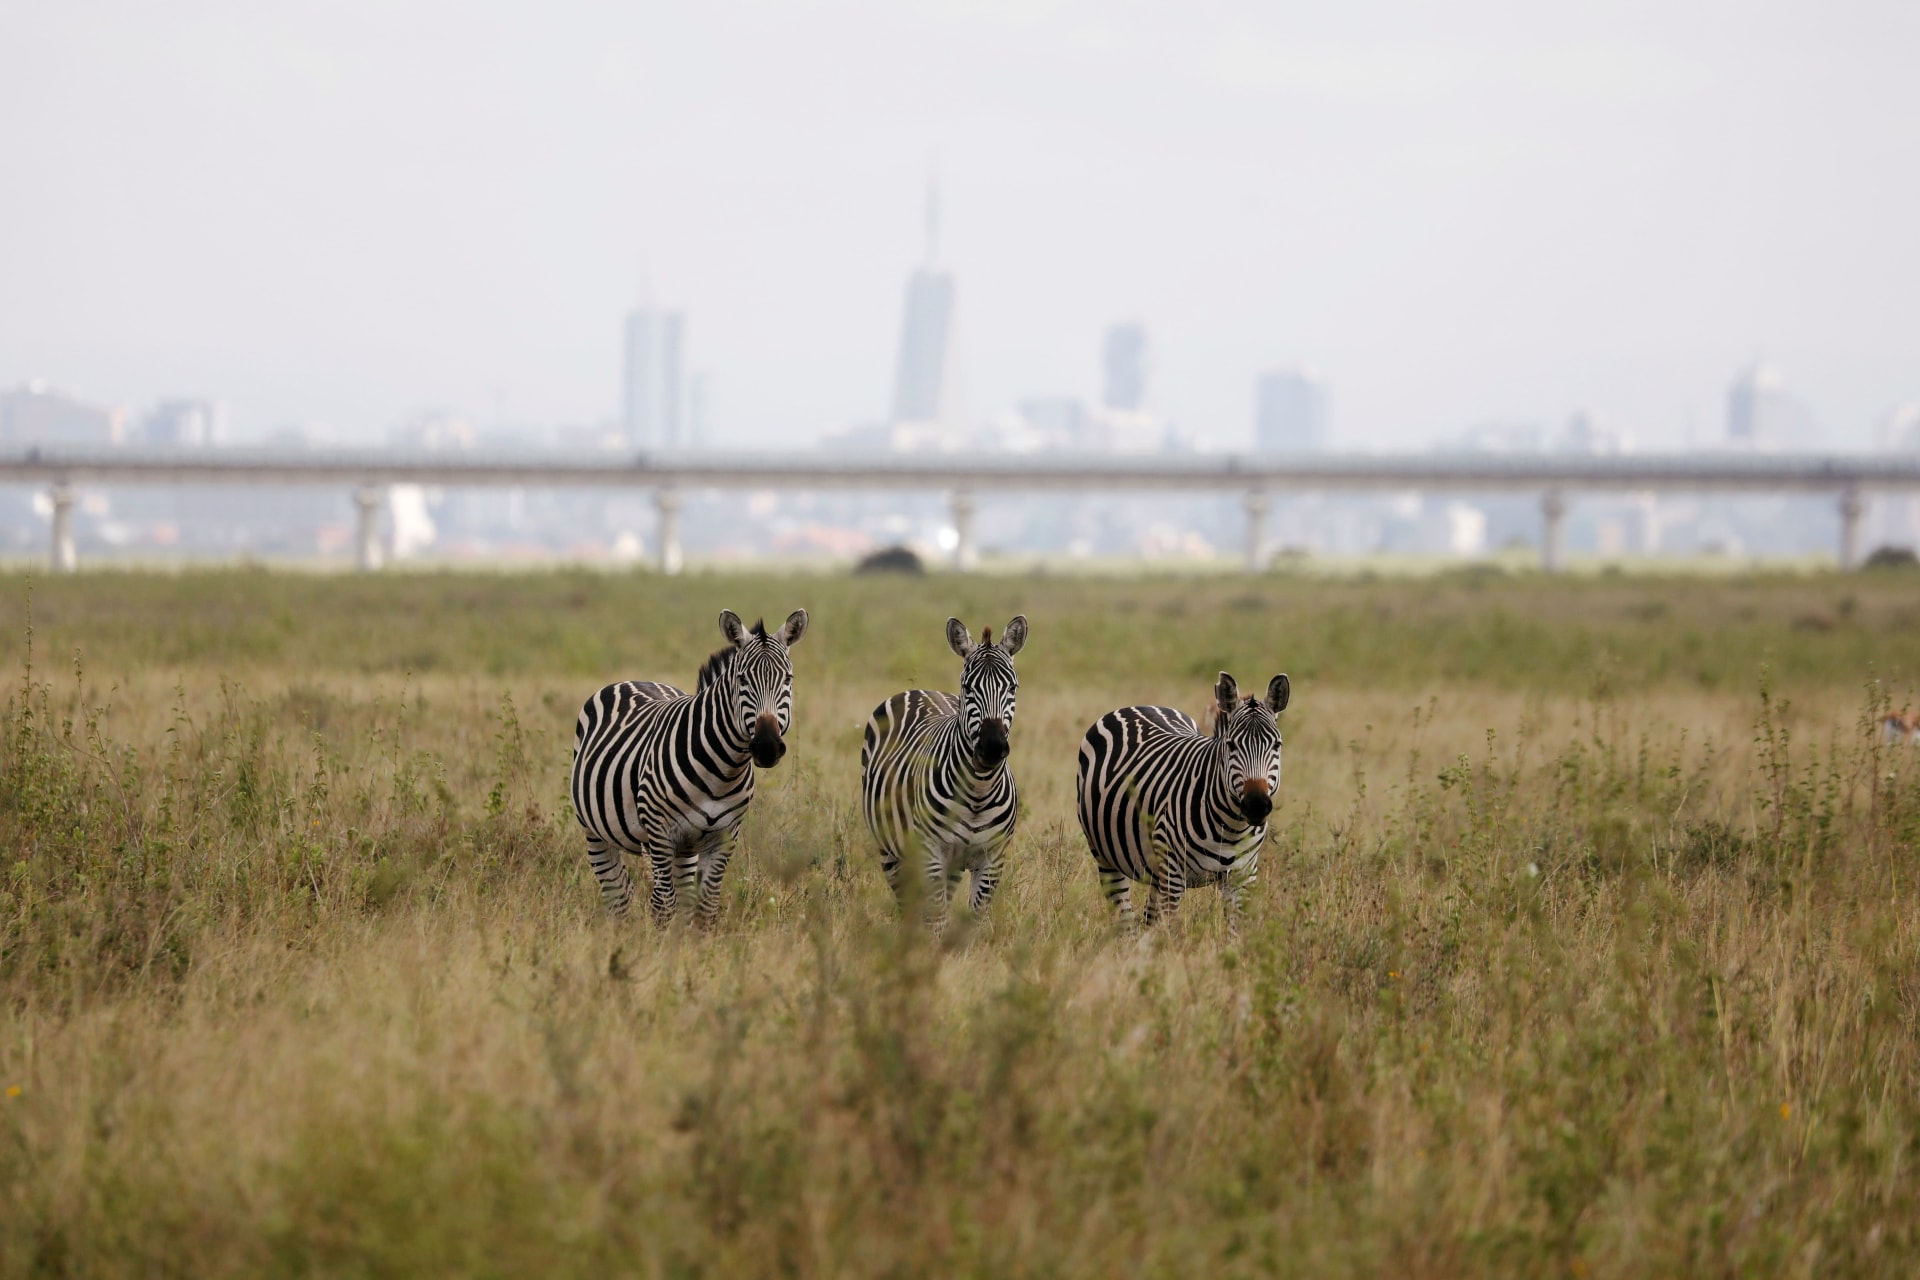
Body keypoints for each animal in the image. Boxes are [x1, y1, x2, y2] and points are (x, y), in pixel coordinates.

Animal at [570, 608, 808, 927]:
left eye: (788, 678)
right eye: (742, 679)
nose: (767, 746)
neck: (723, 772)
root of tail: (632, 680)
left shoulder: (724, 837)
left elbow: (705, 907)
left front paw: (695, 941)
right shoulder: (659, 833)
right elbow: (664, 906)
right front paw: (662, 942)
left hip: (685, 849)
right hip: (595, 831)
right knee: (617, 893)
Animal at [861, 615, 1028, 929]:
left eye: (1012, 688)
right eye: (968, 687)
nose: (992, 747)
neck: (978, 791)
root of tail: (918, 690)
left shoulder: (992, 859)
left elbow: (974, 922)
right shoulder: (932, 855)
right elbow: (936, 920)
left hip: (951, 866)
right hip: (890, 850)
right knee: (907, 904)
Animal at [1076, 670, 1289, 934]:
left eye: (1277, 745)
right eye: (1231, 745)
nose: (1257, 805)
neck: (1231, 829)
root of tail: (1141, 706)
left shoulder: (1243, 877)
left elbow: (1235, 935)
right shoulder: (1173, 878)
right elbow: (1168, 935)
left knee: (1148, 918)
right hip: (1106, 858)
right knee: (1125, 921)